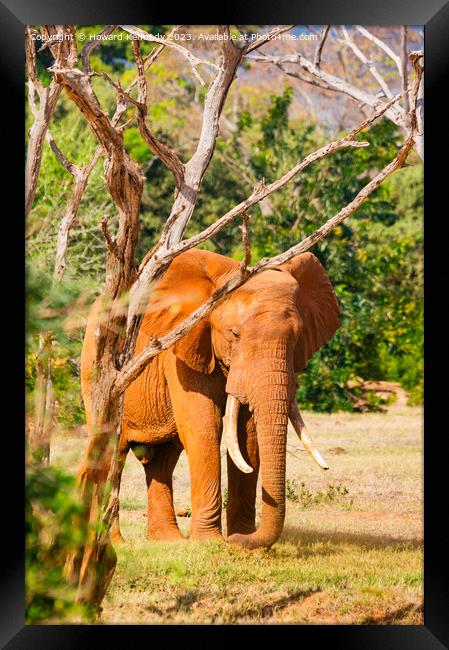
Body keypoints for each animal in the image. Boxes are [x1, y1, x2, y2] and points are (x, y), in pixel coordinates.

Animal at [80, 247, 340, 548]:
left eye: (297, 336)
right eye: (234, 333)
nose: (237, 539)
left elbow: (247, 435)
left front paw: (240, 537)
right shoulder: (180, 348)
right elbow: (204, 426)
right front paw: (209, 542)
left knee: (163, 461)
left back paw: (168, 541)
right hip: (96, 371)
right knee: (113, 451)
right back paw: (115, 542)